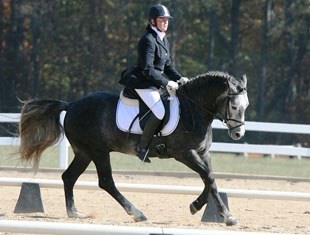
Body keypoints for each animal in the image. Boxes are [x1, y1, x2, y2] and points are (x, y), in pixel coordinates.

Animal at [19, 71, 248, 226]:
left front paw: (221, 214)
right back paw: (137, 213)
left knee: (69, 177)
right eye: (234, 106)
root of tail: (71, 105)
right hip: (98, 152)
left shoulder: (203, 153)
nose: (238, 134)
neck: (192, 109)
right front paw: (205, 209)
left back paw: (74, 212)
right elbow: (208, 177)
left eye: (245, 106)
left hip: (84, 153)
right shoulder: (184, 153)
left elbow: (211, 180)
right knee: (106, 181)